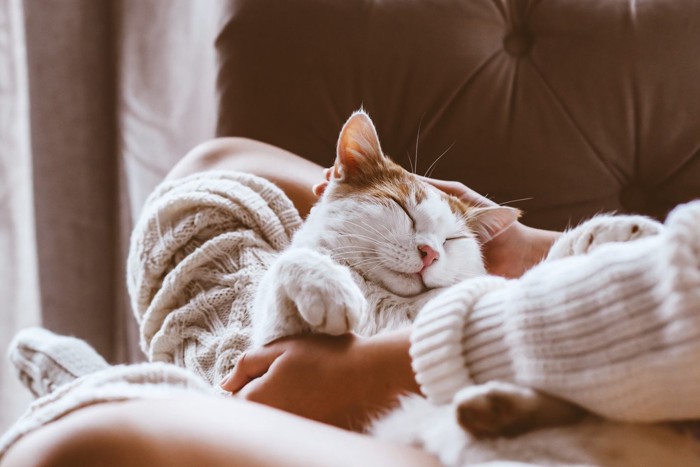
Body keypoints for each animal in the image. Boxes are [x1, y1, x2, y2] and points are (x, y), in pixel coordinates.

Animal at [250, 110, 660, 450]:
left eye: (453, 239)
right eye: (404, 210)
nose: (430, 252)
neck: (385, 300)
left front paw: (608, 231)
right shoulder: (272, 338)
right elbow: (292, 261)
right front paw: (326, 287)